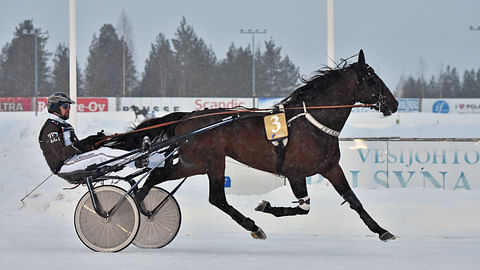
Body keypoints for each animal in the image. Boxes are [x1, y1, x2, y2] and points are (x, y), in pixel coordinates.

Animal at [110, 49, 396, 242]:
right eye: (373, 79)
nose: (393, 104)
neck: (311, 123)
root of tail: (188, 118)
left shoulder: (330, 167)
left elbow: (353, 200)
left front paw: (382, 230)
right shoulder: (295, 172)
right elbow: (303, 207)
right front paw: (266, 206)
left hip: (193, 164)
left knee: (158, 177)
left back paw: (141, 206)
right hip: (209, 161)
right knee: (214, 197)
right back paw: (252, 225)